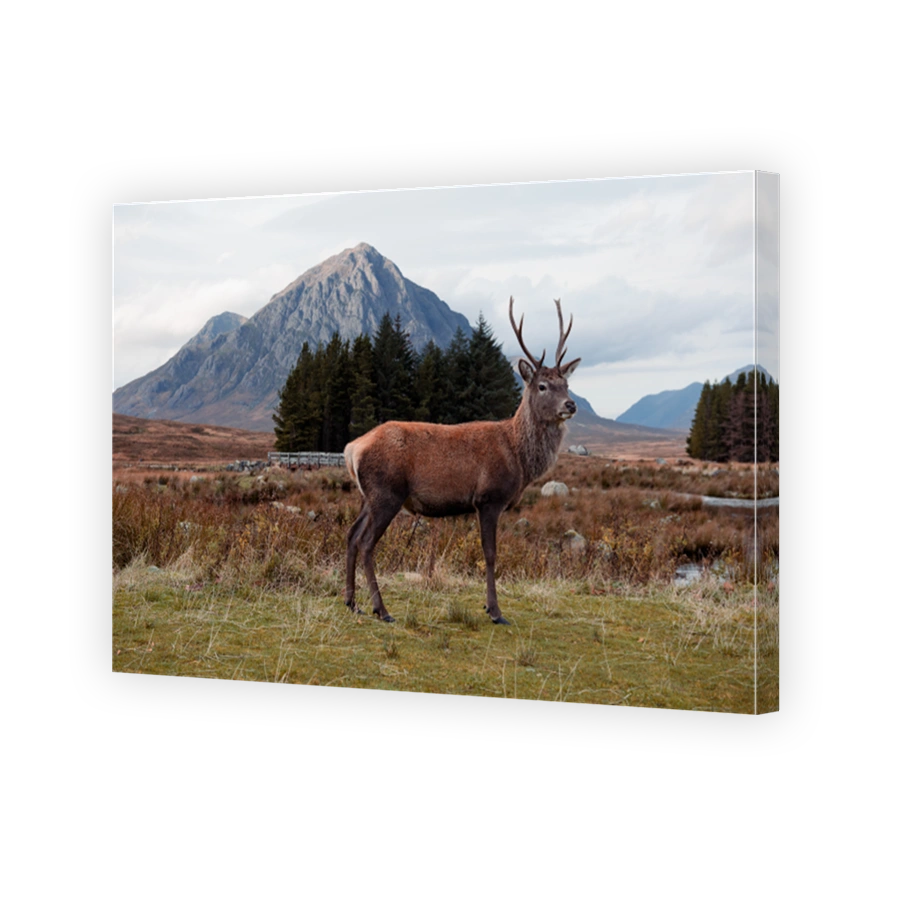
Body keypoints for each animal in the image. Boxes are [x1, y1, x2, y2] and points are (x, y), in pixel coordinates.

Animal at [344, 297, 581, 625]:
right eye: (542, 386)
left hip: (368, 496)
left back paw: (352, 602)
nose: (570, 405)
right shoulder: (488, 498)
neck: (519, 459)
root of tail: (352, 448)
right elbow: (490, 553)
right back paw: (382, 609)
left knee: (351, 535)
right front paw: (495, 611)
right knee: (366, 543)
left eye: (566, 384)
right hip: (386, 493)